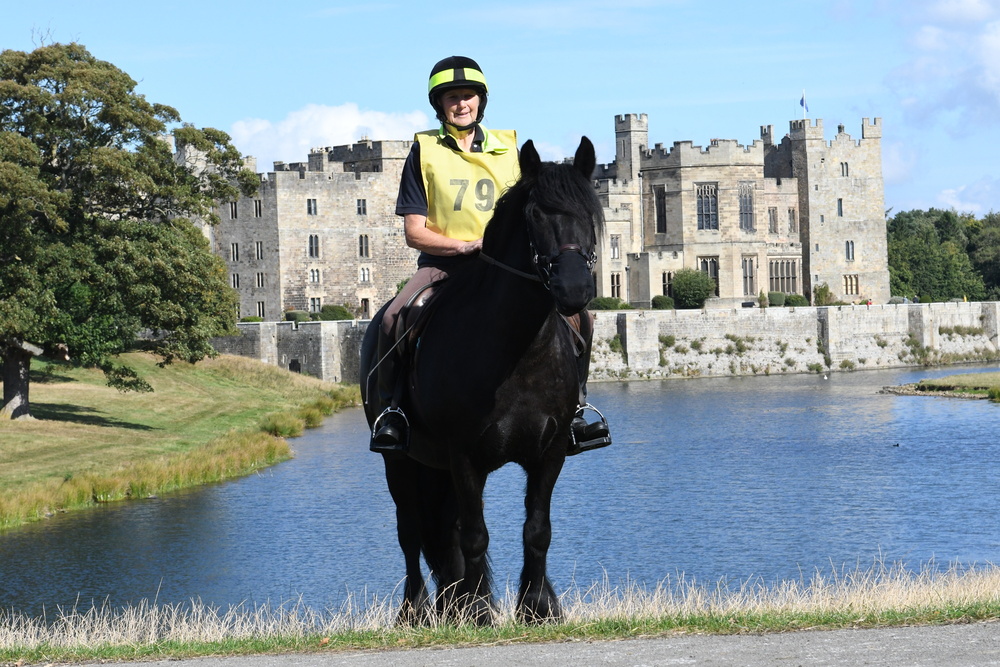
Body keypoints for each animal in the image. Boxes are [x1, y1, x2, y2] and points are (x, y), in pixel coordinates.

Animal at [362, 136, 600, 628]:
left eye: (590, 211)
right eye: (535, 214)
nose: (574, 290)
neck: (518, 351)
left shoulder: (549, 453)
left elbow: (537, 530)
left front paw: (537, 607)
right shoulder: (464, 455)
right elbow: (474, 535)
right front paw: (476, 612)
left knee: (442, 529)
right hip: (401, 459)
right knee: (410, 531)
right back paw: (417, 610)